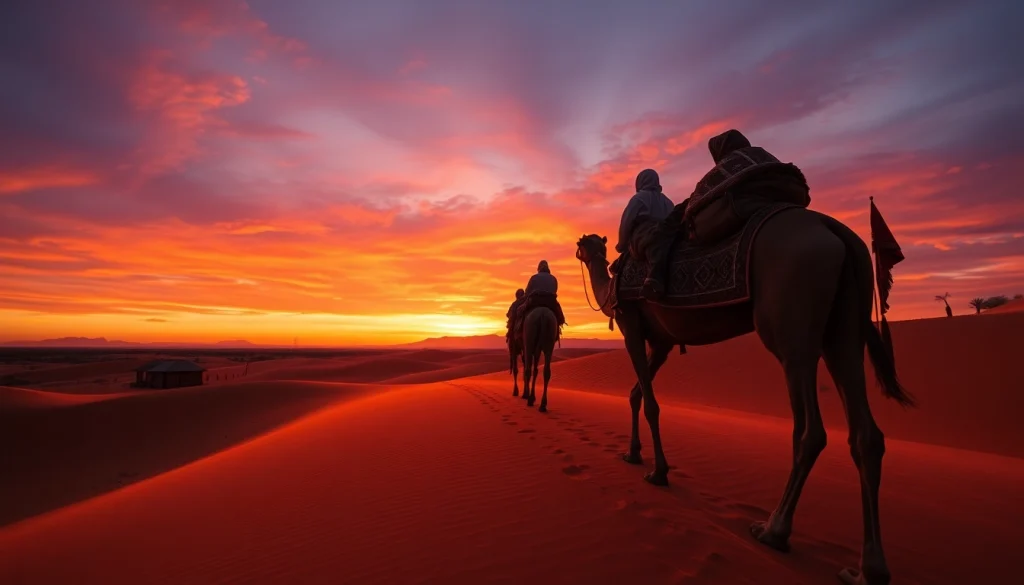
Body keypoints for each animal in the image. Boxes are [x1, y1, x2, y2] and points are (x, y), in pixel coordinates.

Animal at [574, 207, 915, 585]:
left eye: (585, 245)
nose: (583, 252)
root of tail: (835, 230)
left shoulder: (631, 323)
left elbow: (649, 403)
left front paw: (658, 472)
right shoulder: (663, 341)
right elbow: (636, 395)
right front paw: (633, 454)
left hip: (792, 326)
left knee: (810, 430)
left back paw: (773, 530)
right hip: (845, 327)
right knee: (865, 434)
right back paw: (868, 570)